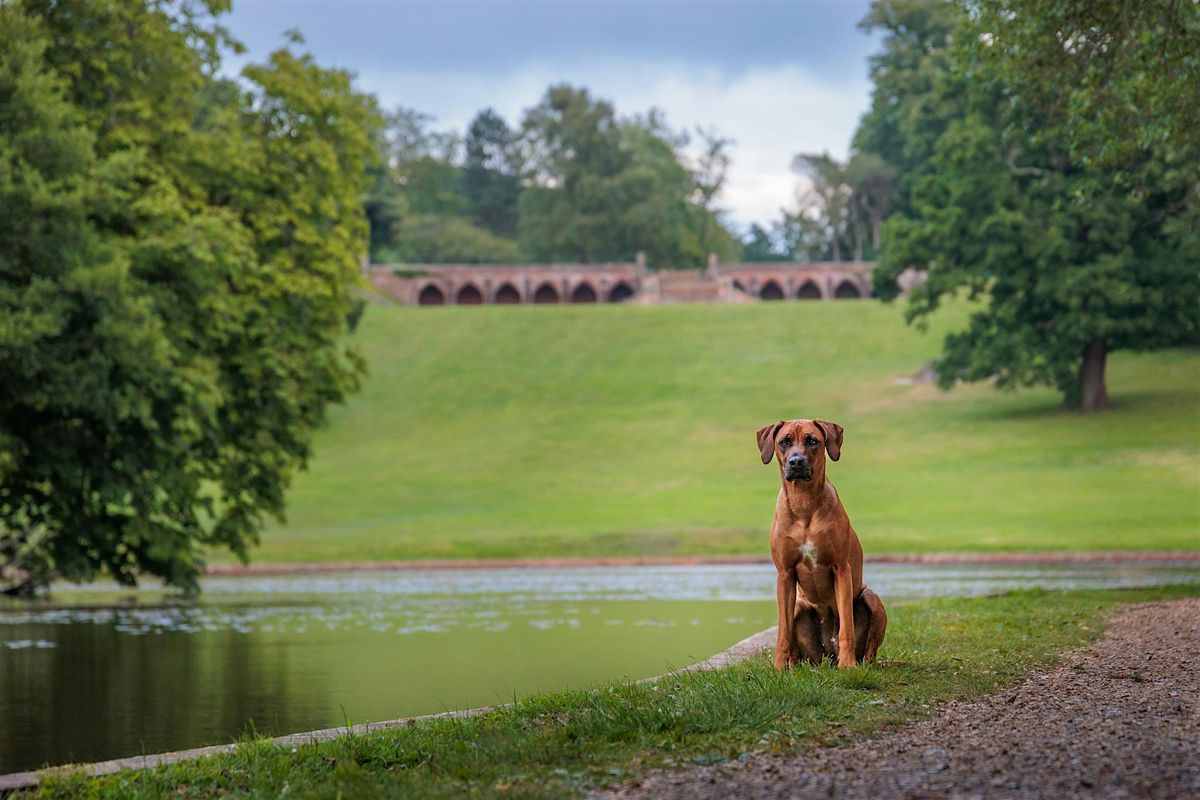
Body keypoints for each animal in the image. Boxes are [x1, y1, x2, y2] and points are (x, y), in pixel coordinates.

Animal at [753, 419, 888, 671]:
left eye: (812, 440)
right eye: (784, 442)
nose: (796, 462)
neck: (803, 503)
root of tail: (828, 656)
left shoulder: (841, 569)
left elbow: (847, 626)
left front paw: (848, 666)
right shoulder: (784, 574)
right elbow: (783, 631)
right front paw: (778, 668)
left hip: (870, 597)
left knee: (869, 648)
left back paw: (858, 663)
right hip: (799, 608)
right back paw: (793, 665)